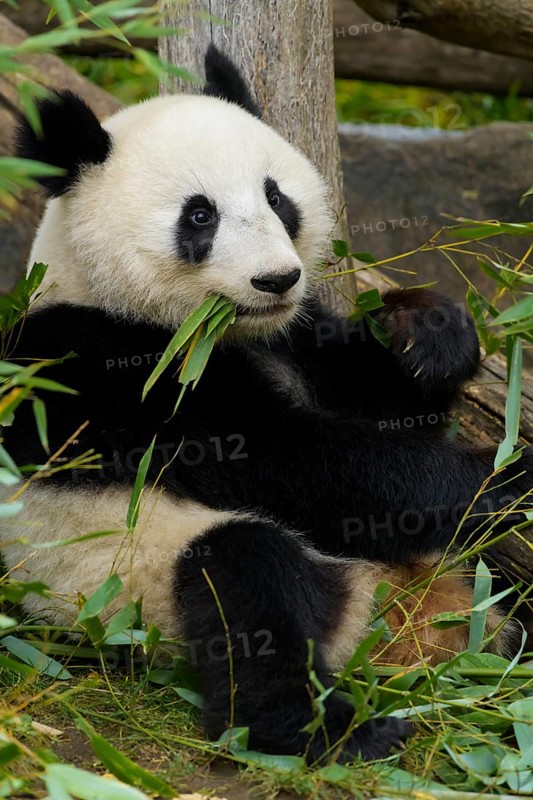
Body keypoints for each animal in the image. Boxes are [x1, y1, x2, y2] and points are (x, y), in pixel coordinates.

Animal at [1, 45, 532, 763]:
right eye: (199, 217)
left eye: (276, 197)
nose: (276, 279)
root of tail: (399, 626)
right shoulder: (99, 367)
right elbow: (295, 463)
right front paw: (498, 480)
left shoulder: (294, 337)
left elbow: (371, 398)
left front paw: (428, 333)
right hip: (133, 579)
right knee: (245, 581)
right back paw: (331, 730)